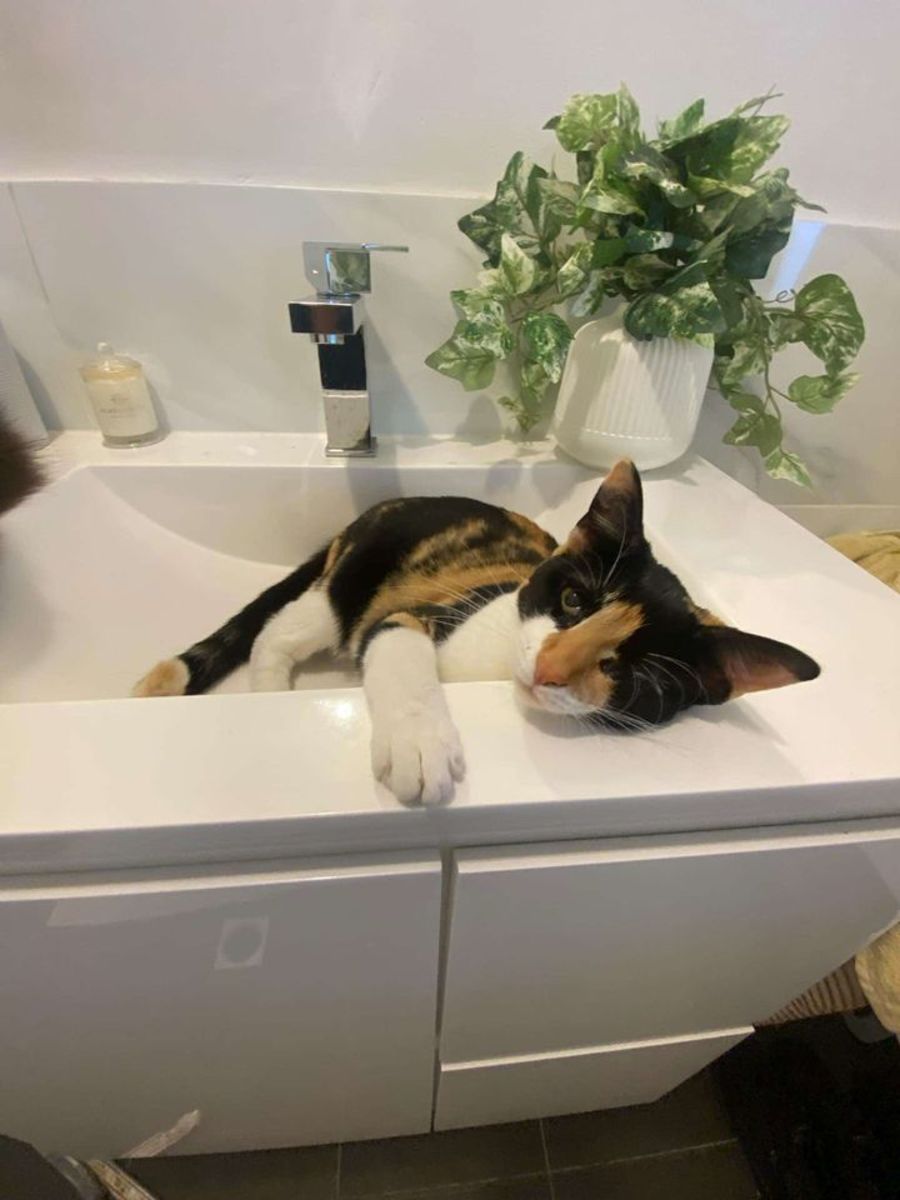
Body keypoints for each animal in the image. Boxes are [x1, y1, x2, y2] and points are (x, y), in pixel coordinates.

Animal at [134, 459, 820, 805]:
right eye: (573, 600)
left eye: (635, 673)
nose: (548, 669)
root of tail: (382, 506)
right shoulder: (415, 613)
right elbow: (399, 651)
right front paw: (420, 746)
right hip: (350, 581)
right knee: (281, 629)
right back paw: (272, 692)